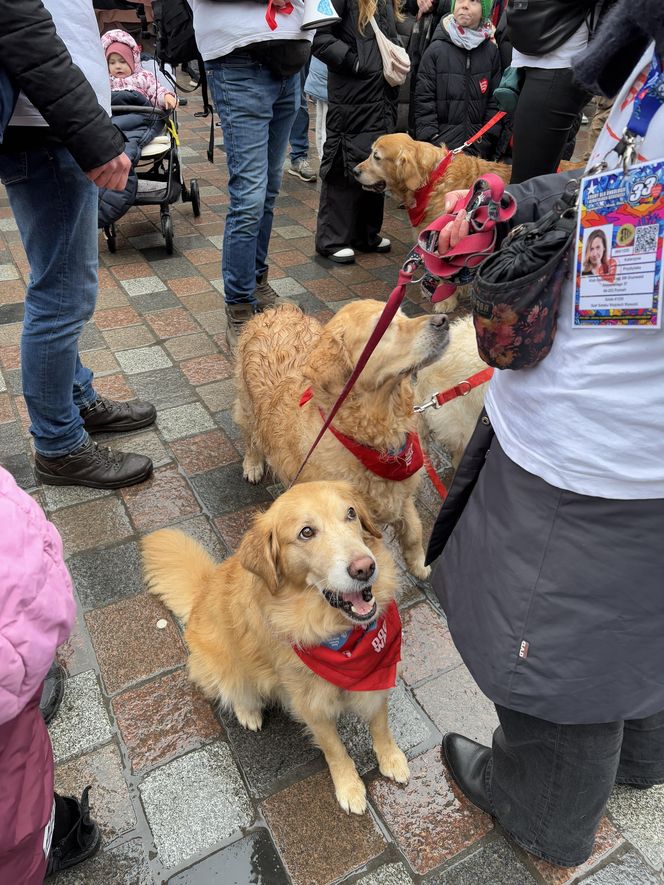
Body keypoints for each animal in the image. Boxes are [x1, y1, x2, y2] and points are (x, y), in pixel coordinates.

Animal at [235, 302, 452, 580]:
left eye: (404, 315)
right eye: (383, 326)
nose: (443, 320)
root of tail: (275, 309)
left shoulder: (401, 495)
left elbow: (414, 530)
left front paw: (418, 564)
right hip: (247, 404)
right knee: (251, 436)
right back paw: (252, 464)